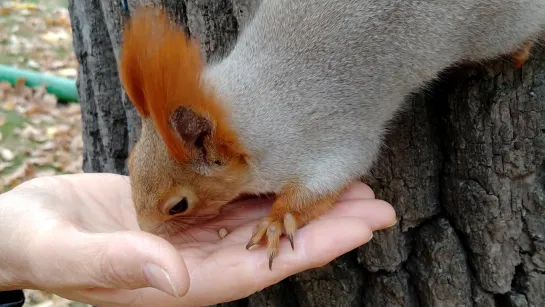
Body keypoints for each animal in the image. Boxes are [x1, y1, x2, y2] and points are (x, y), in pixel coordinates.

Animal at [120, 3, 544, 270]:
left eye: (178, 206)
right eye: (129, 161)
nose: (146, 229)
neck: (253, 112)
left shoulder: (329, 139)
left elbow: (328, 179)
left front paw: (277, 219)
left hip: (498, 29)